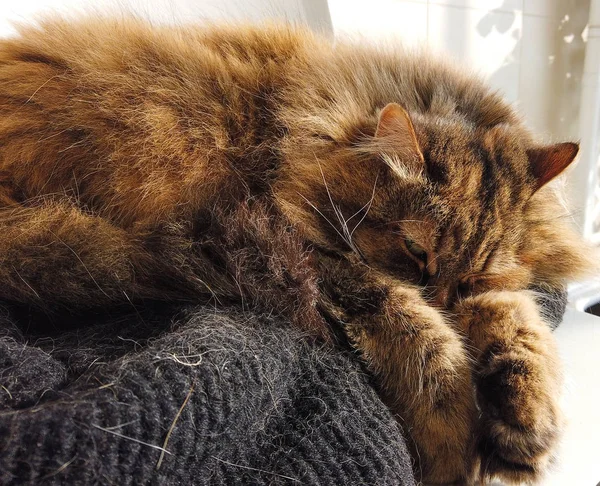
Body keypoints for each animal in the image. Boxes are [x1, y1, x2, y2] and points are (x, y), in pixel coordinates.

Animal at [0, 17, 592, 484]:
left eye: (470, 277)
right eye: (413, 251)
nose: (444, 298)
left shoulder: (492, 289)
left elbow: (520, 324)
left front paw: (526, 425)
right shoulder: (314, 251)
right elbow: (423, 338)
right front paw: (454, 438)